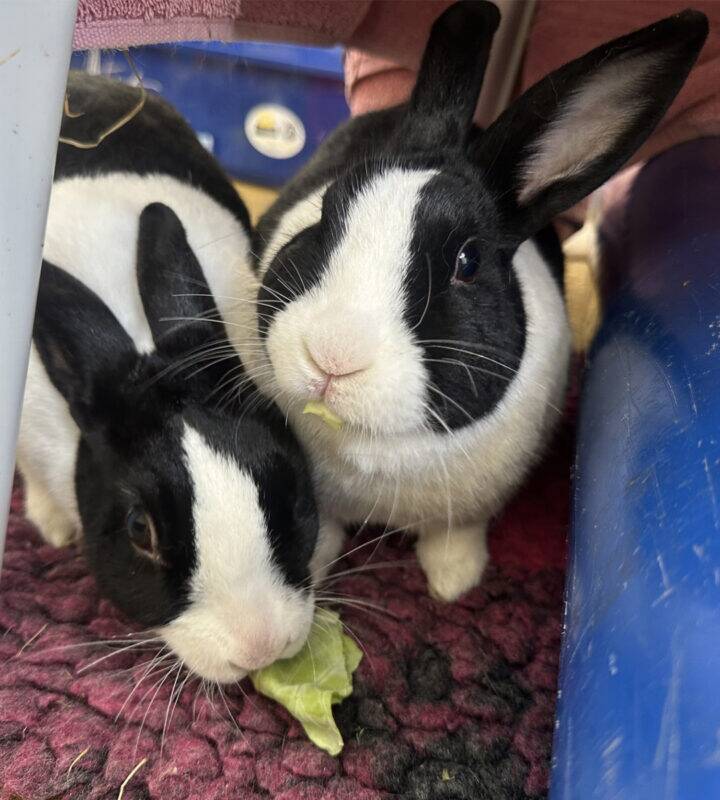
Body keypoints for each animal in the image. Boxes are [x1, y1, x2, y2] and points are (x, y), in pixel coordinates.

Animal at [230, 2, 708, 601]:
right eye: (326, 215)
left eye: (468, 261)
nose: (332, 357)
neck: (377, 446)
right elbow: (325, 531)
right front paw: (313, 573)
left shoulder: (472, 510)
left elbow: (455, 536)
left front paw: (453, 584)